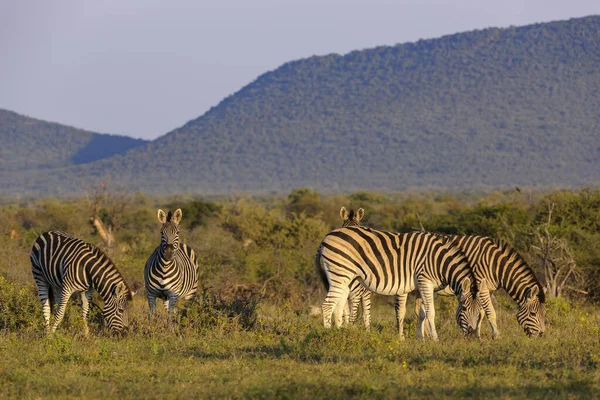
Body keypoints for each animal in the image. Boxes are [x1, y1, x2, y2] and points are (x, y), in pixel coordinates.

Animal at [316, 225, 480, 340]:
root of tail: (327, 236)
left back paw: (340, 332)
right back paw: (328, 334)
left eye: (479, 312)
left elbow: (422, 313)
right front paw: (435, 338)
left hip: (345, 278)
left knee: (338, 306)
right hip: (339, 273)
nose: (472, 335)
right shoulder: (425, 281)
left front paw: (421, 338)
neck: (439, 261)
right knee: (327, 305)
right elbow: (431, 312)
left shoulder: (423, 287)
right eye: (464, 308)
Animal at [418, 236, 548, 340]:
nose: (542, 335)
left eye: (544, 313)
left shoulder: (485, 290)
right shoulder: (481, 287)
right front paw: (496, 336)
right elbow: (491, 312)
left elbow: (480, 313)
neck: (496, 265)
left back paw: (425, 335)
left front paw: (477, 335)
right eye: (533, 314)